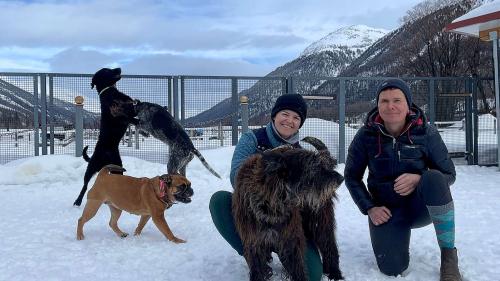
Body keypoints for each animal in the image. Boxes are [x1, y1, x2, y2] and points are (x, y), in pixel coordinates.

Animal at [231, 137, 342, 280]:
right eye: (313, 166)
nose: (341, 178)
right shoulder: (253, 242)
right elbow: (256, 267)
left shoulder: (291, 240)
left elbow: (298, 268)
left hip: (321, 223)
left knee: (329, 246)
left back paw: (334, 273)